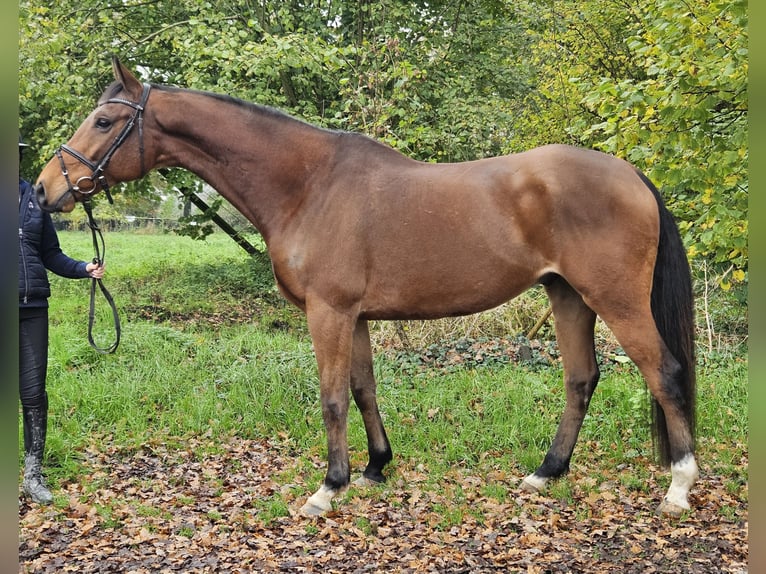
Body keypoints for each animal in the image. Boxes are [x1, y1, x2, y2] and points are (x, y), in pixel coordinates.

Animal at [34, 57, 704, 516]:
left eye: (103, 120)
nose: (44, 190)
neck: (308, 185)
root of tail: (633, 176)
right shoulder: (353, 316)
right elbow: (362, 390)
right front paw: (376, 468)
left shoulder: (328, 312)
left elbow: (332, 396)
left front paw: (327, 488)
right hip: (567, 297)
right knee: (581, 379)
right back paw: (545, 473)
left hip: (614, 299)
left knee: (664, 372)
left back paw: (678, 487)